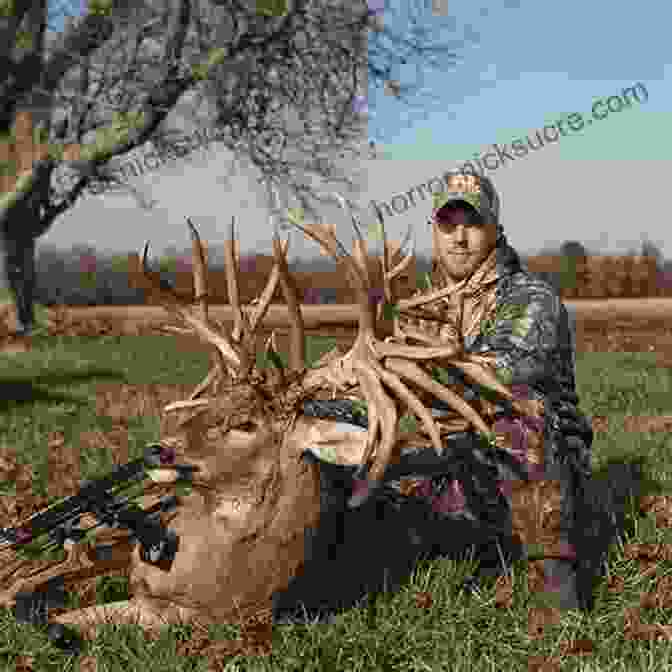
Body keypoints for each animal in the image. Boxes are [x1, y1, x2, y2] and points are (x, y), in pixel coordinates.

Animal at [0, 202, 540, 644]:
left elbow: (63, 615)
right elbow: (36, 584)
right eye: (213, 401)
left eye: (245, 424)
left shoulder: (202, 617)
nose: (159, 449)